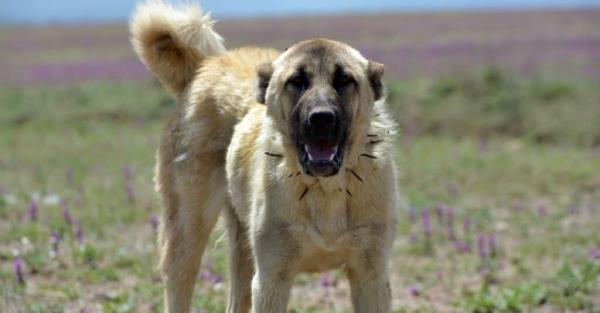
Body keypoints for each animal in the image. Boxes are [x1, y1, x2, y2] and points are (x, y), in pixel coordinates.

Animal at [130, 1, 398, 310]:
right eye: (297, 81)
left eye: (343, 80)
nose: (321, 118)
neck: (326, 190)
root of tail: (206, 65)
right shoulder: (272, 278)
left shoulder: (371, 276)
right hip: (186, 237)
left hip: (242, 250)